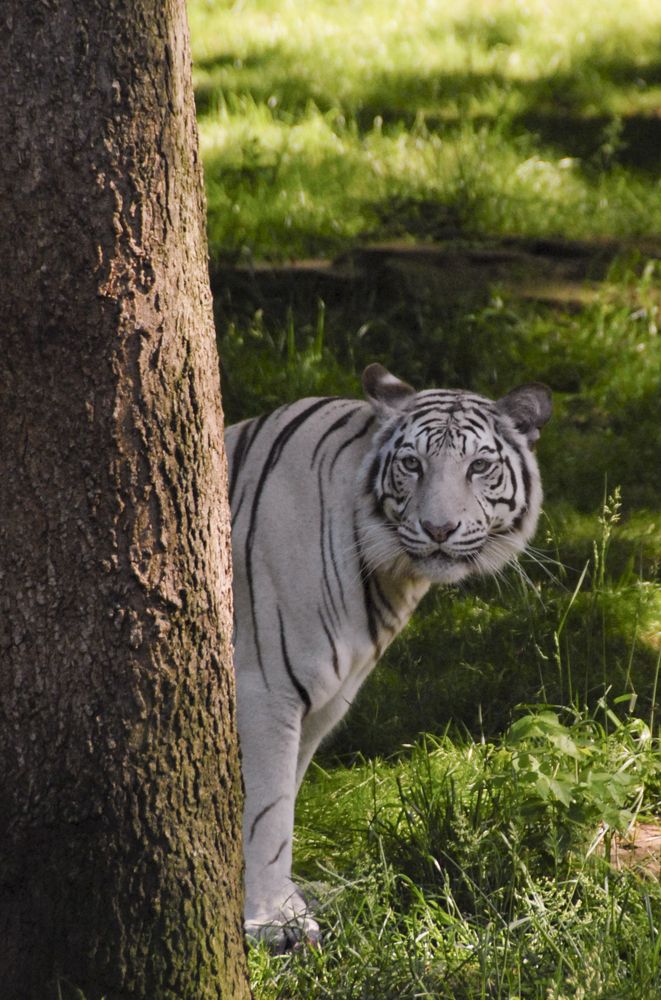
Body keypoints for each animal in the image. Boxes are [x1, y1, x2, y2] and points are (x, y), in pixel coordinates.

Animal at [225, 363, 552, 950]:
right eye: (412, 464)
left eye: (479, 465)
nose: (439, 529)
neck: (387, 577)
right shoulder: (267, 691)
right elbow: (268, 809)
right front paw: (275, 922)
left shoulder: (323, 699)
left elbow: (284, 795)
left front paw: (282, 898)